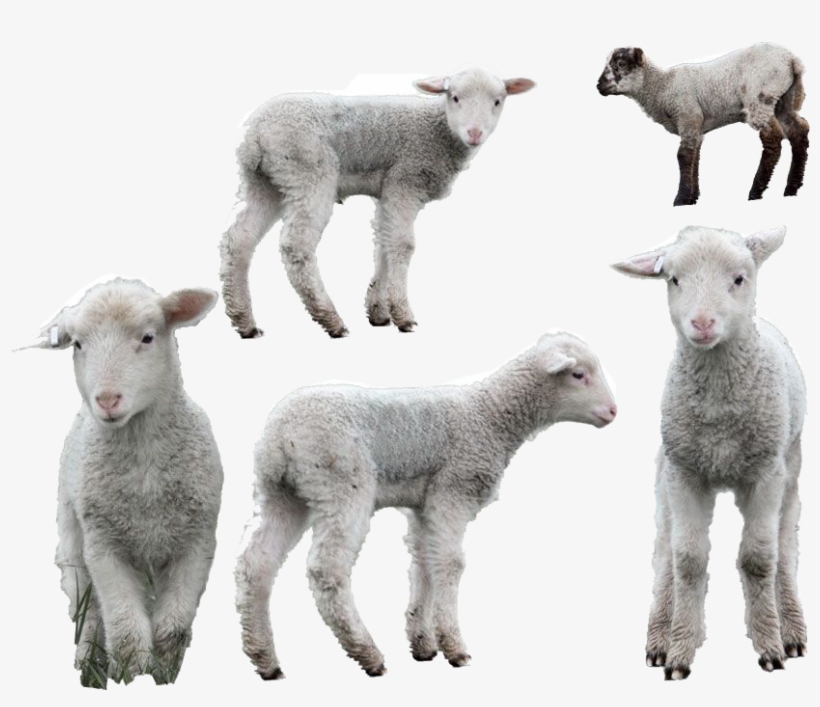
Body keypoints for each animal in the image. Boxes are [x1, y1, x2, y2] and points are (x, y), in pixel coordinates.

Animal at [25, 279, 223, 686]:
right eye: (78, 344)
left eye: (147, 337)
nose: (107, 399)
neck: (145, 469)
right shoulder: (103, 547)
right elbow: (126, 630)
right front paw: (131, 678)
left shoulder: (197, 542)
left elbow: (172, 627)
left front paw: (164, 674)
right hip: (74, 548)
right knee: (87, 615)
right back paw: (87, 664)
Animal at [219, 67, 535, 339]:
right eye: (455, 97)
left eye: (498, 101)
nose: (474, 133)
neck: (439, 132)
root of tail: (254, 134)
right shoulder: (405, 180)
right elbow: (403, 245)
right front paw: (403, 316)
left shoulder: (387, 191)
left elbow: (384, 244)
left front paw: (379, 312)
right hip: (307, 171)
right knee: (296, 246)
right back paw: (331, 319)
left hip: (265, 183)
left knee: (239, 240)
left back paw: (244, 321)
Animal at [235, 332, 617, 678]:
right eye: (578, 374)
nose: (613, 411)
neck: (491, 415)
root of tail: (279, 436)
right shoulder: (454, 490)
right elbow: (450, 564)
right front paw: (455, 648)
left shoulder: (424, 504)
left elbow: (424, 563)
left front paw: (423, 644)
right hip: (340, 483)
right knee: (327, 570)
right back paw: (367, 653)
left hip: (281, 493)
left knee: (256, 564)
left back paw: (265, 659)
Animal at [597, 44, 809, 205]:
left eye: (621, 64)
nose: (599, 86)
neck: (662, 87)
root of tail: (792, 60)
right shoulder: (696, 127)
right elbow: (695, 158)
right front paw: (692, 198)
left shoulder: (687, 115)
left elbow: (683, 156)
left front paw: (680, 200)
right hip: (785, 99)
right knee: (799, 131)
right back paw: (791, 188)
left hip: (760, 97)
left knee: (773, 139)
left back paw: (755, 192)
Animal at [612, 225, 807, 680]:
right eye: (673, 280)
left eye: (738, 278)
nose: (701, 323)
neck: (720, 419)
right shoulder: (685, 474)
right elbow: (687, 559)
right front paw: (680, 650)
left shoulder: (765, 474)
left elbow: (758, 558)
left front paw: (769, 646)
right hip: (665, 474)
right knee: (664, 550)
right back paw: (660, 637)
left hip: (789, 466)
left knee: (785, 543)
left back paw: (790, 628)